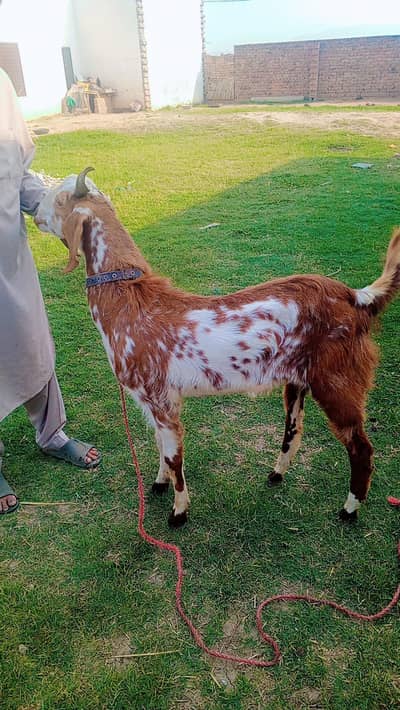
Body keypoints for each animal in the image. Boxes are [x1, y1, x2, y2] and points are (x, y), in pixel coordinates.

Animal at [35, 167, 400, 527]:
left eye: (61, 200)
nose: (35, 211)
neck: (132, 300)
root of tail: (356, 297)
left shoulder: (161, 399)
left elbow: (174, 456)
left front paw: (179, 513)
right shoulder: (153, 402)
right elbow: (159, 445)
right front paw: (159, 483)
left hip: (339, 382)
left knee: (361, 448)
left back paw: (349, 510)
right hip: (298, 381)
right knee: (294, 430)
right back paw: (276, 475)